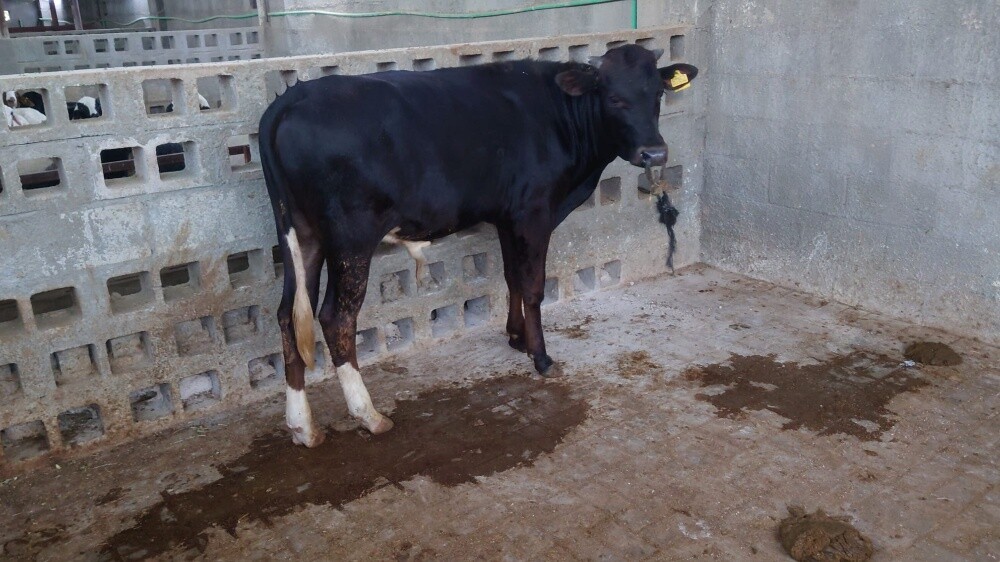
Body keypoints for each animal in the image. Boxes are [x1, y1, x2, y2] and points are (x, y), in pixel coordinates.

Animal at [259, 44, 698, 446]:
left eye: (657, 95)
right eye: (614, 98)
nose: (655, 152)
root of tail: (292, 98)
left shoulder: (507, 216)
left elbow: (512, 277)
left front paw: (517, 338)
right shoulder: (533, 211)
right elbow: (533, 286)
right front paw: (541, 357)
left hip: (301, 235)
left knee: (287, 315)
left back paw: (302, 425)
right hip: (350, 237)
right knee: (337, 317)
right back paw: (368, 414)